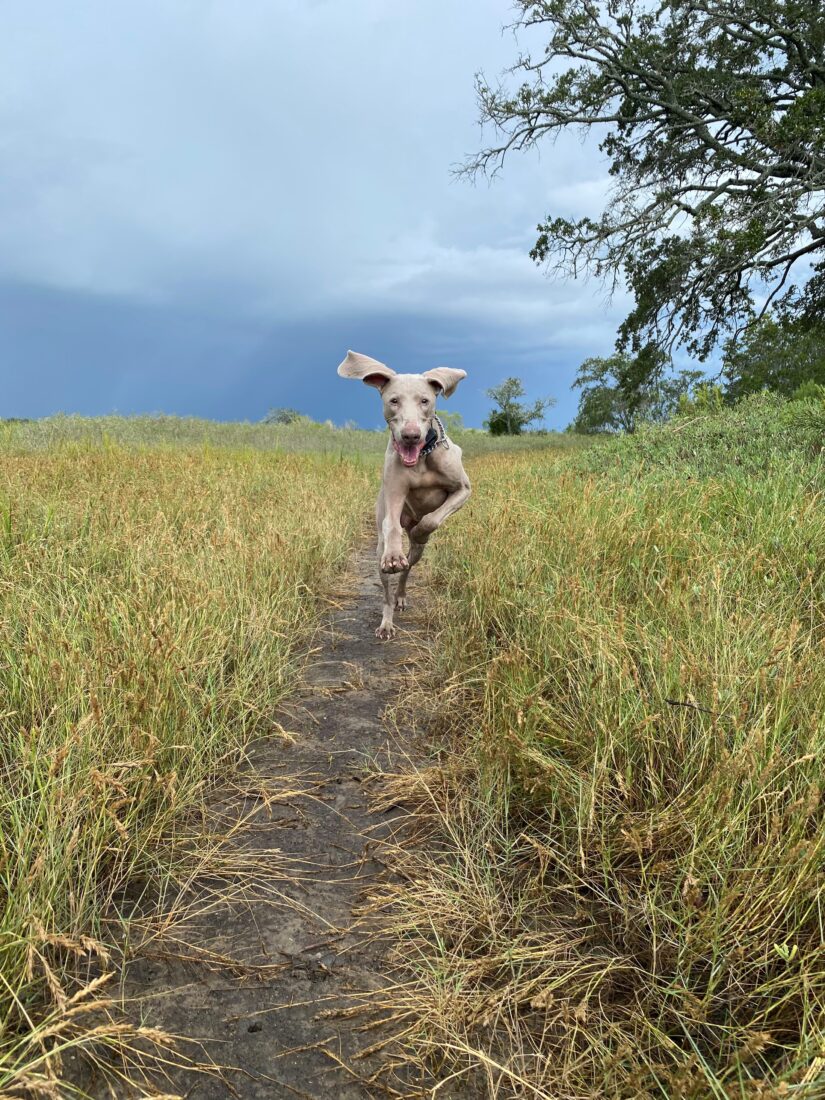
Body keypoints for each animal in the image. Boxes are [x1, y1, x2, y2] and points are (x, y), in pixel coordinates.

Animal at [336, 352, 470, 642]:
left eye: (425, 401)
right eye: (393, 401)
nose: (410, 435)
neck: (422, 456)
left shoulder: (463, 489)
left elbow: (432, 520)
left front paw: (421, 530)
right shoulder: (394, 491)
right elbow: (391, 525)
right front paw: (395, 555)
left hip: (419, 552)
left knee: (409, 566)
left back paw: (402, 590)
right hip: (378, 553)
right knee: (387, 591)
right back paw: (387, 620)